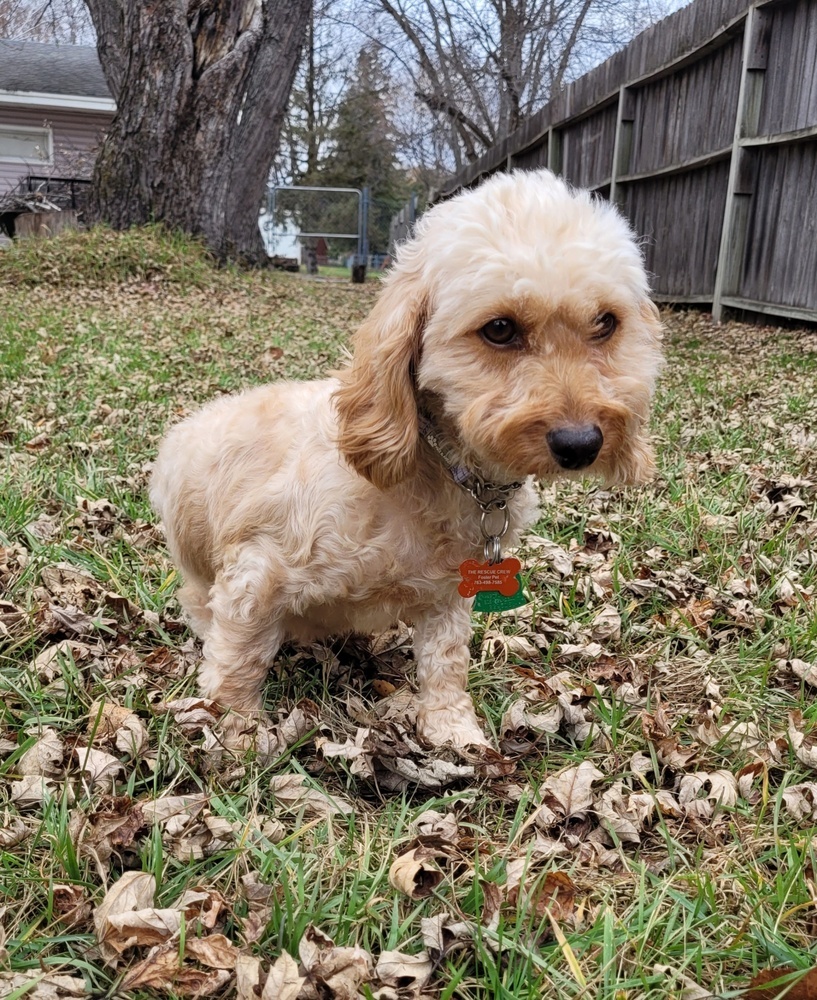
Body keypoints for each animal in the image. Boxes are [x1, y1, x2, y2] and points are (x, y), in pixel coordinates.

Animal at [151, 172, 664, 748]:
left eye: (606, 322)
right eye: (500, 329)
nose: (580, 444)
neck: (442, 472)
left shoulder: (448, 598)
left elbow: (446, 662)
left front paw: (452, 728)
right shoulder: (255, 576)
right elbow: (239, 661)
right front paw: (235, 731)